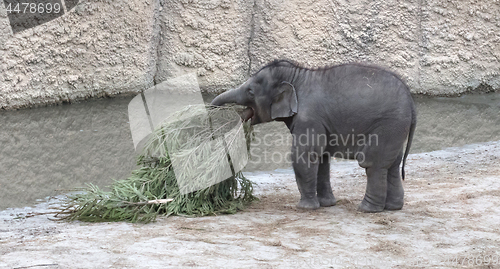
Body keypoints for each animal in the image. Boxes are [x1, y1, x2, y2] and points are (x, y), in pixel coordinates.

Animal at [212, 60, 418, 211]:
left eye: (250, 92)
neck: (297, 76)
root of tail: (411, 102)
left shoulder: (309, 118)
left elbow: (303, 156)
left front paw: (305, 208)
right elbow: (322, 159)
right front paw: (327, 205)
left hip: (387, 126)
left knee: (373, 164)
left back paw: (366, 209)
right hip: (396, 129)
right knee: (392, 165)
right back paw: (393, 208)